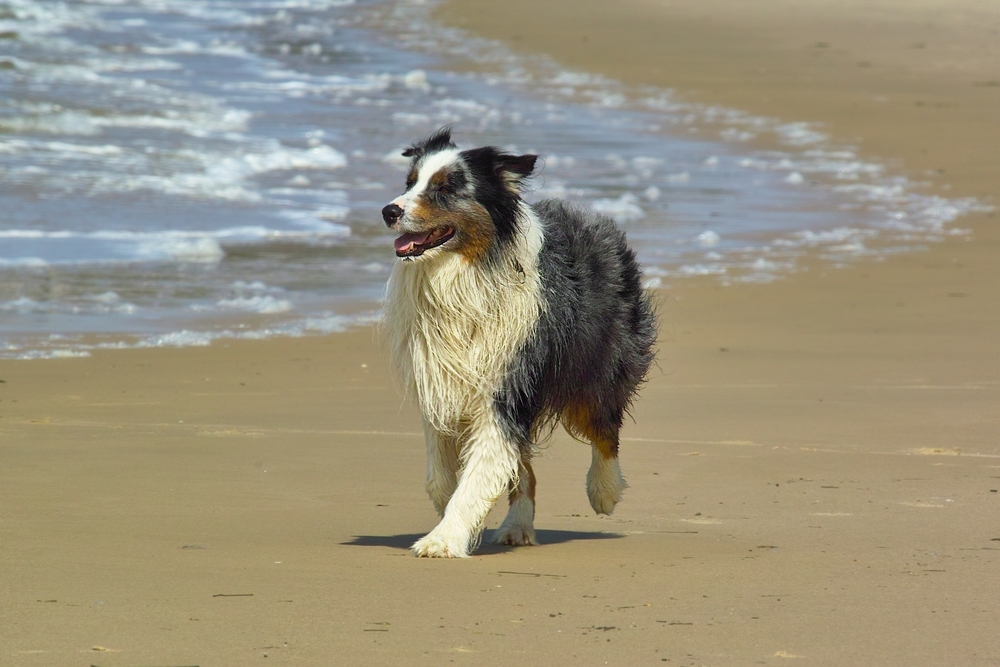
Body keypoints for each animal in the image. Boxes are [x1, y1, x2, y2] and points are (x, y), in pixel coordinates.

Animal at [380, 129, 656, 560]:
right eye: (410, 183)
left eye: (445, 189)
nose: (388, 211)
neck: (464, 272)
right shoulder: (442, 382)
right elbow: (444, 474)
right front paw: (449, 511)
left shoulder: (505, 386)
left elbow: (478, 474)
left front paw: (443, 539)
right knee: (525, 469)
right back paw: (517, 525)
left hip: (594, 366)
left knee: (605, 427)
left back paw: (604, 492)